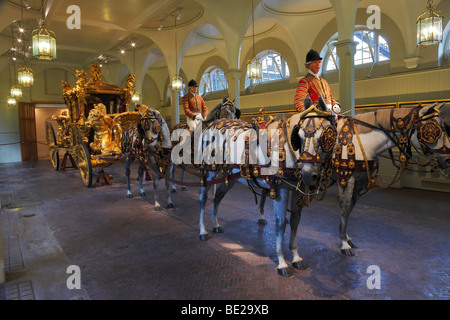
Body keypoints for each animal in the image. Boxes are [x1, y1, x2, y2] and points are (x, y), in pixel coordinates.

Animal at [298, 102, 450, 255]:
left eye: (443, 127)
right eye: (433, 130)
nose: (448, 159)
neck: (362, 143)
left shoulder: (359, 183)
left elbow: (349, 211)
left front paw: (346, 238)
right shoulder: (346, 179)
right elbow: (344, 209)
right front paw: (344, 244)